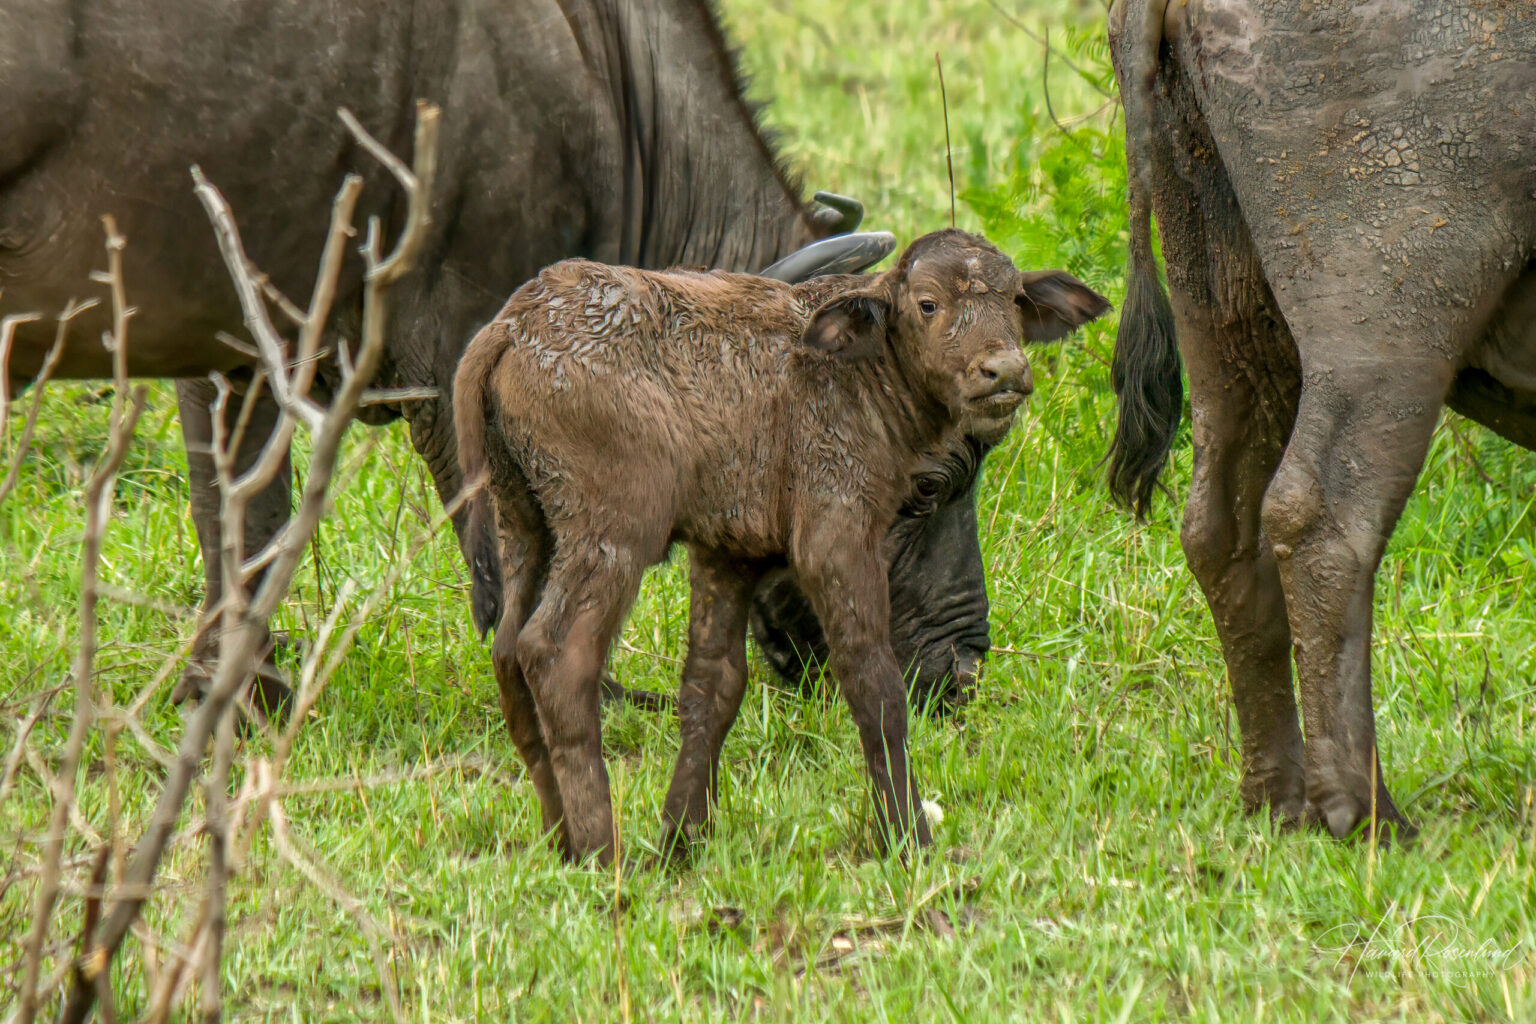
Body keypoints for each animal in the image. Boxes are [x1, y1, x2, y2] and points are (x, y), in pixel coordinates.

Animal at [1108, 0, 1536, 839]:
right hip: (1387, 328)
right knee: (1320, 524)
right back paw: (1369, 817)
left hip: (1221, 302)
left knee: (1222, 528)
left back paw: (1278, 802)